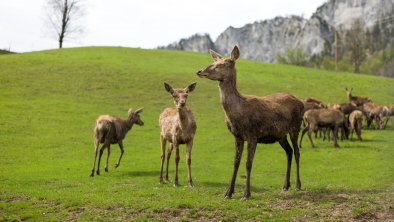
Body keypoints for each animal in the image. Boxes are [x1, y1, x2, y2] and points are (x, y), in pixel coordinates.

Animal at [195, 46, 304, 200]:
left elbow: (248, 163)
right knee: (288, 151)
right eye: (214, 62)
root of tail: (301, 102)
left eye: (221, 64)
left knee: (297, 151)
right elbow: (236, 163)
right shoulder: (237, 136)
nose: (199, 71)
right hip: (280, 134)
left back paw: (298, 185)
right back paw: (285, 185)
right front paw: (228, 193)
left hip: (296, 126)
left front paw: (246, 194)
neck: (237, 113)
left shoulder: (253, 134)